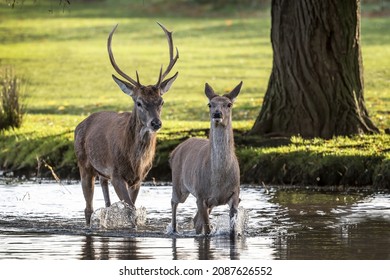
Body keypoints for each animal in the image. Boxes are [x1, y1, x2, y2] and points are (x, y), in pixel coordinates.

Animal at [74, 23, 179, 226]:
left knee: (106, 203)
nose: (156, 122)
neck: (135, 161)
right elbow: (131, 211)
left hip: (102, 174)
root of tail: (80, 124)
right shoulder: (116, 174)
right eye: (139, 102)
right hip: (84, 164)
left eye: (161, 101)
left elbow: (134, 208)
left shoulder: (139, 179)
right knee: (88, 208)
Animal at [169, 81, 242, 236]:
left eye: (229, 104)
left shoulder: (235, 195)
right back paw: (174, 229)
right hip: (179, 184)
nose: (217, 113)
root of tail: (174, 151)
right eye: (210, 104)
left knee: (196, 220)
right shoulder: (201, 195)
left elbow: (232, 231)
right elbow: (207, 231)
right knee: (174, 201)